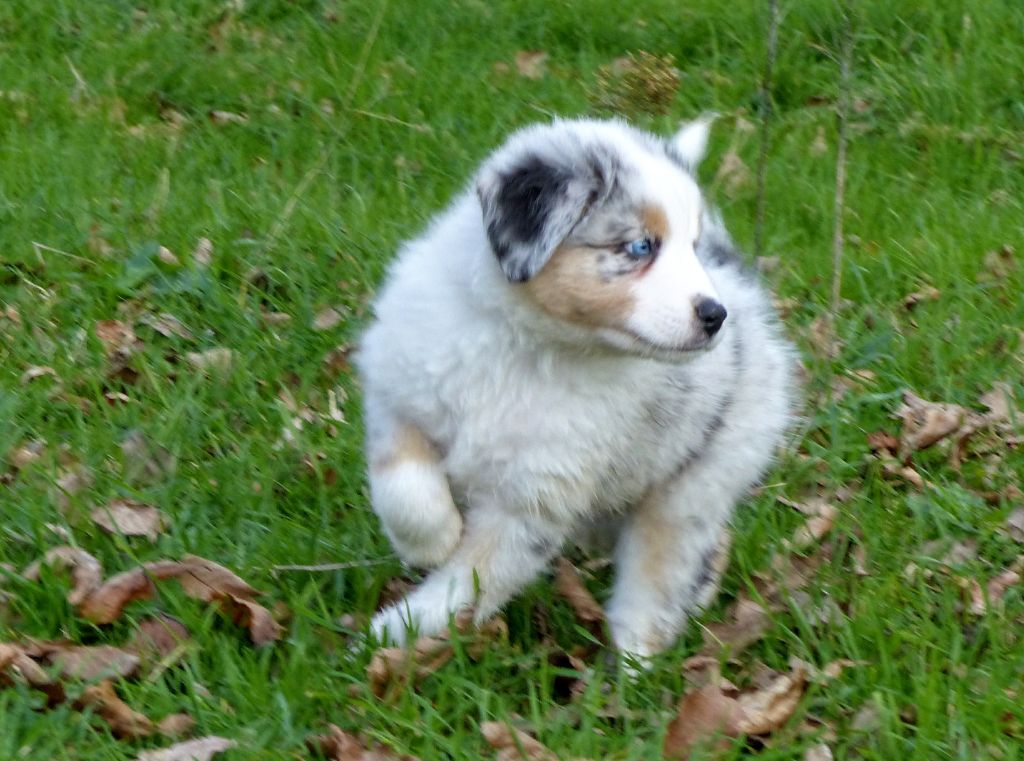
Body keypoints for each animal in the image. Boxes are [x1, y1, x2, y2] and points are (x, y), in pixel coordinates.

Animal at [355, 117, 796, 661]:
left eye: (692, 248)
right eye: (641, 246)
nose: (715, 315)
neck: (530, 345)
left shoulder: (534, 499)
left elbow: (471, 579)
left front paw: (396, 635)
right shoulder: (398, 394)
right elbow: (402, 485)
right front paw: (432, 540)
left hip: (691, 491)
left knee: (657, 584)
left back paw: (630, 668)